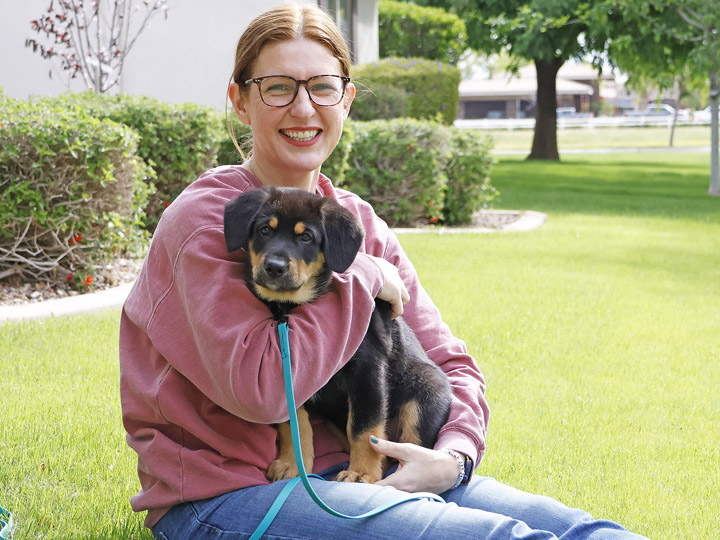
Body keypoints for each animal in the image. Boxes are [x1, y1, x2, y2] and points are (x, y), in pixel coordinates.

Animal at [225, 187, 450, 486]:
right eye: (264, 230)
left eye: (306, 237)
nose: (274, 267)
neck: (291, 307)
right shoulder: (286, 380)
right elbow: (293, 424)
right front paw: (291, 464)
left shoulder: (368, 370)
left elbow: (364, 428)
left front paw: (360, 473)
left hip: (425, 389)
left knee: (410, 444)